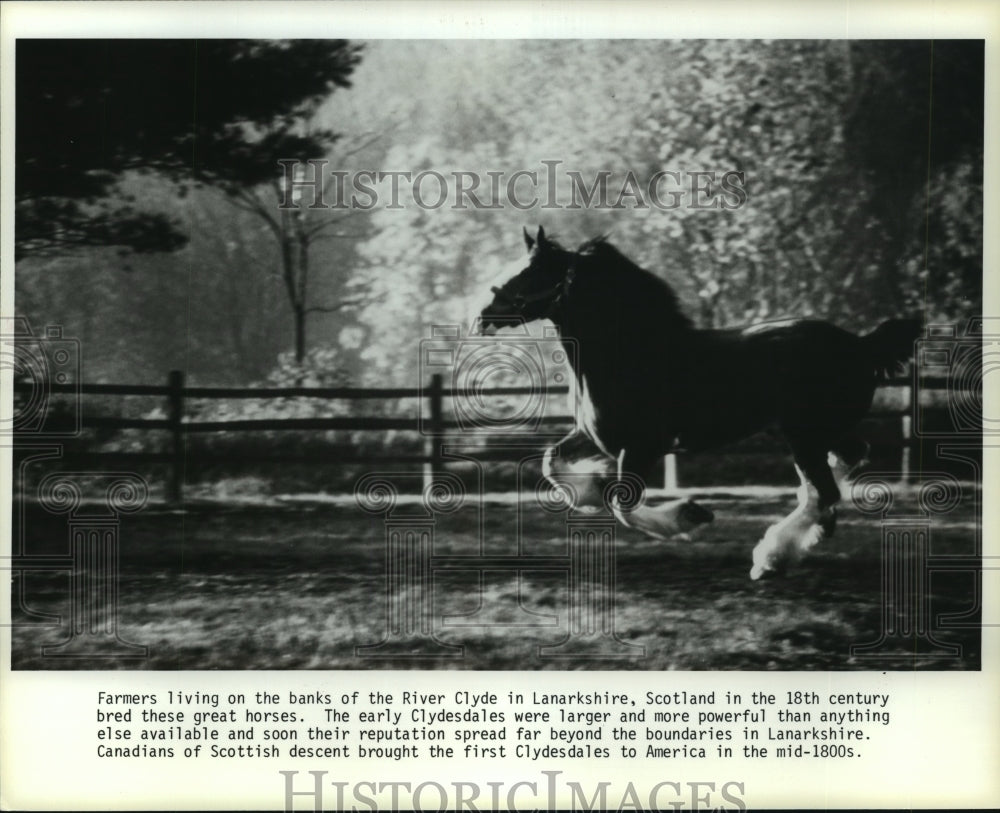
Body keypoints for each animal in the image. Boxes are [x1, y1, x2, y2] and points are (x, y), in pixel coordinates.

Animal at [477, 226, 922, 578]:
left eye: (529, 273)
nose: (482, 316)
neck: (630, 355)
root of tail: (862, 346)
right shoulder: (593, 436)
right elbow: (552, 461)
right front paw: (590, 491)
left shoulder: (643, 446)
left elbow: (623, 504)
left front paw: (691, 514)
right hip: (820, 431)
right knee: (843, 464)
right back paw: (807, 535)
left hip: (805, 435)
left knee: (824, 489)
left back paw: (770, 559)